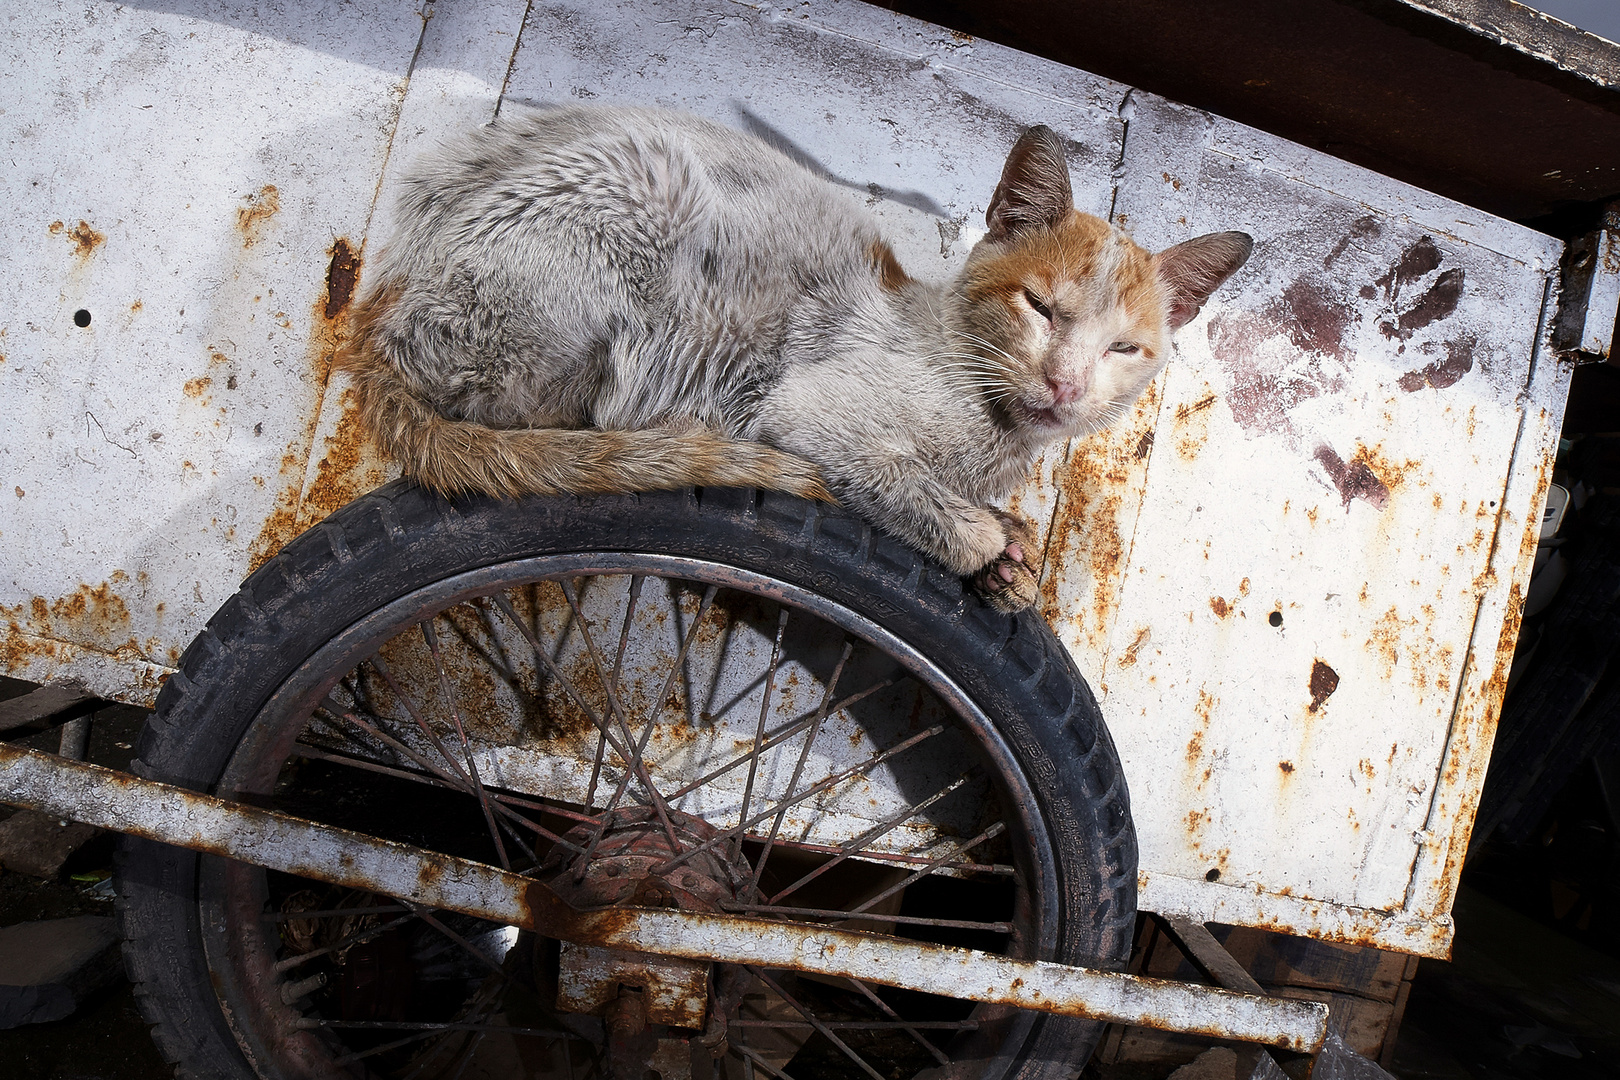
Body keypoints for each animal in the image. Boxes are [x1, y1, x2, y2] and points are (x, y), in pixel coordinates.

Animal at [345, 110, 1250, 615]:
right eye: (1040, 307)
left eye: (1124, 349)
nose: (1065, 383)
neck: (989, 439)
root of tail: (384, 303)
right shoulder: (812, 411)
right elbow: (912, 491)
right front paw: (989, 544)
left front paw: (1016, 566)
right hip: (640, 203)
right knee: (531, 424)